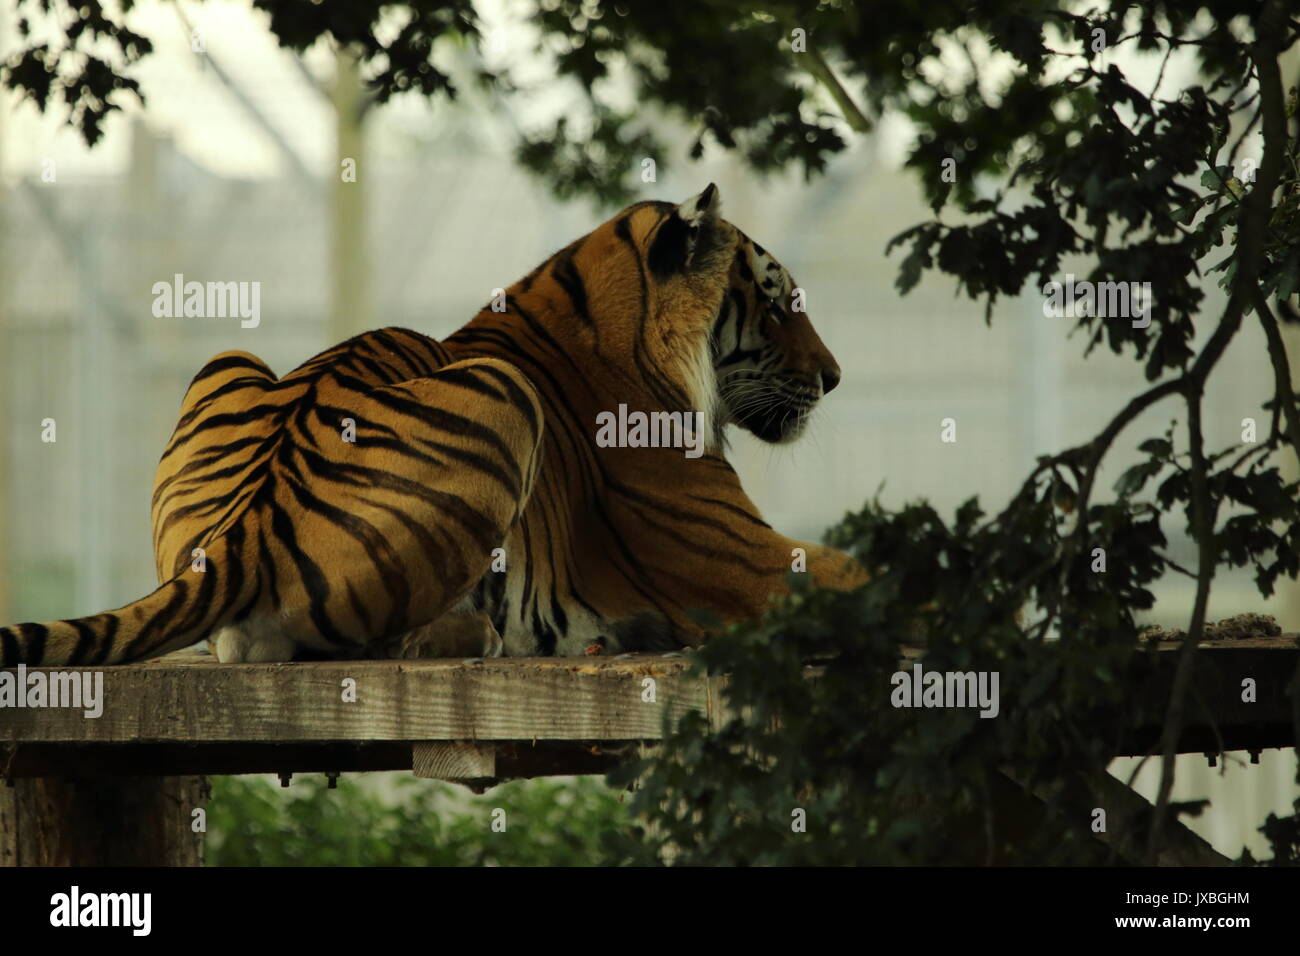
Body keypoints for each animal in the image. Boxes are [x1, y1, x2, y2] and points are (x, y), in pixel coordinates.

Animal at [0, 185, 864, 667]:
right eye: (775, 297)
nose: (835, 376)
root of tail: (240, 539)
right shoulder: (739, 555)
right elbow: (863, 579)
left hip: (227, 354)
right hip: (504, 396)